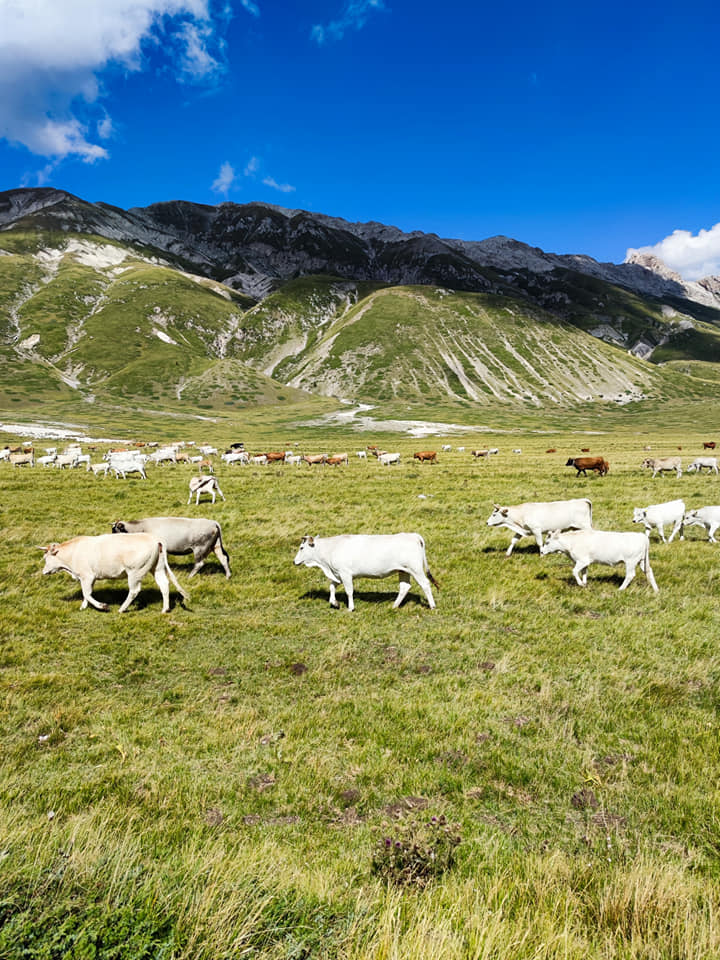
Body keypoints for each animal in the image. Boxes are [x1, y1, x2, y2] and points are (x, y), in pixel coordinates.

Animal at [40, 533, 189, 612]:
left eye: (46, 558)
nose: (44, 571)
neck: (74, 552)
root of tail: (155, 539)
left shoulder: (87, 576)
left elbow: (86, 593)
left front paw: (103, 606)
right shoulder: (90, 578)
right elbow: (87, 593)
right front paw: (83, 606)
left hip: (135, 572)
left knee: (134, 590)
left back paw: (122, 608)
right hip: (157, 568)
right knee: (164, 585)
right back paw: (165, 609)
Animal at [293, 533, 438, 611]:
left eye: (301, 547)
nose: (294, 562)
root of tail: (413, 535)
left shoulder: (345, 573)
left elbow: (349, 591)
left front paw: (350, 608)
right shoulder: (338, 574)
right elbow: (332, 587)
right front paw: (334, 603)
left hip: (415, 569)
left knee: (425, 584)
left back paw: (432, 606)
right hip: (403, 570)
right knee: (404, 587)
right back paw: (394, 606)